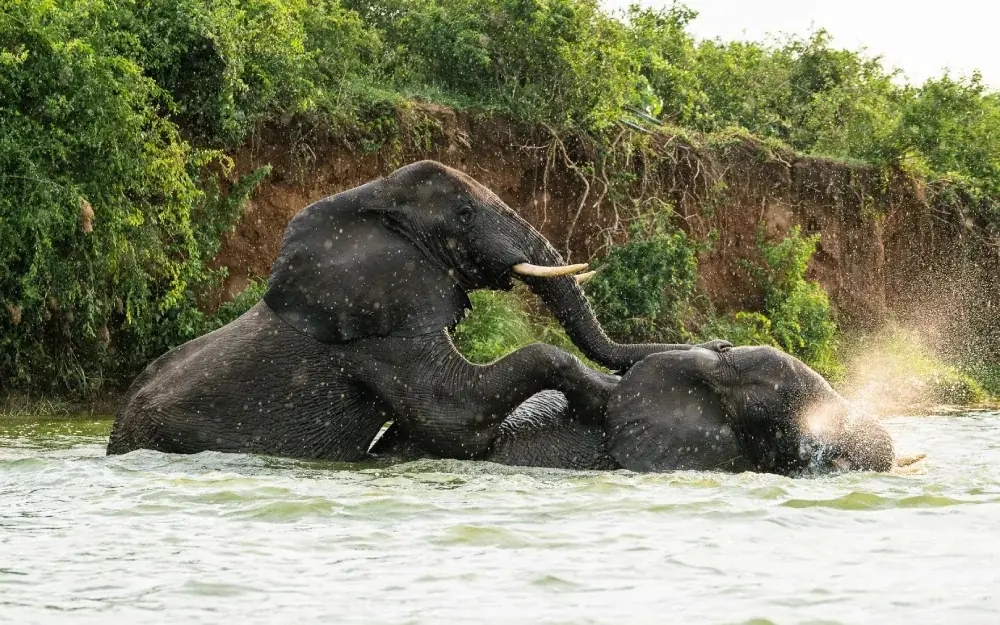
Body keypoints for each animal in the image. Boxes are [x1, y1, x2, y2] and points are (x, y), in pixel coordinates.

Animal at [106, 160, 730, 460]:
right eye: (463, 215)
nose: (720, 345)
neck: (372, 195)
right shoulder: (378, 335)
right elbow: (452, 418)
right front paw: (606, 396)